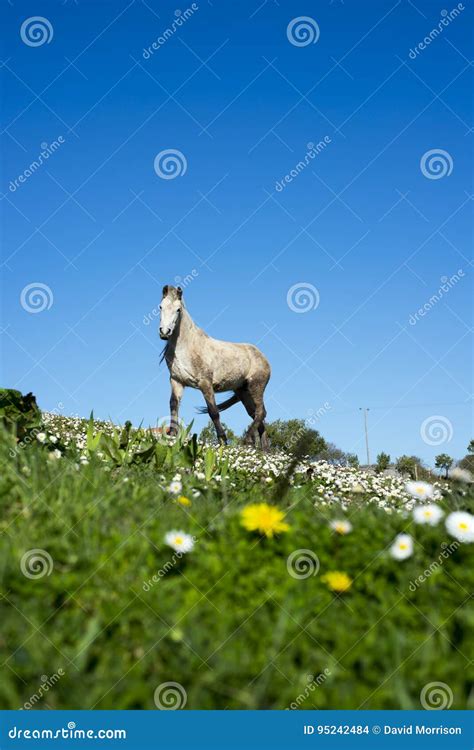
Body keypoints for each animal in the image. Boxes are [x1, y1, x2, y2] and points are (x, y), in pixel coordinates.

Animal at [159, 284, 270, 450]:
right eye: (160, 307)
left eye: (178, 309)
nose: (165, 332)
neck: (187, 347)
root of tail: (263, 358)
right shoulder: (176, 381)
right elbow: (173, 405)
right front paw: (172, 435)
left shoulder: (205, 383)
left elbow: (213, 412)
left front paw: (223, 440)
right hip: (243, 392)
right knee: (258, 416)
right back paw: (264, 450)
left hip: (256, 387)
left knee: (260, 413)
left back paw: (247, 440)